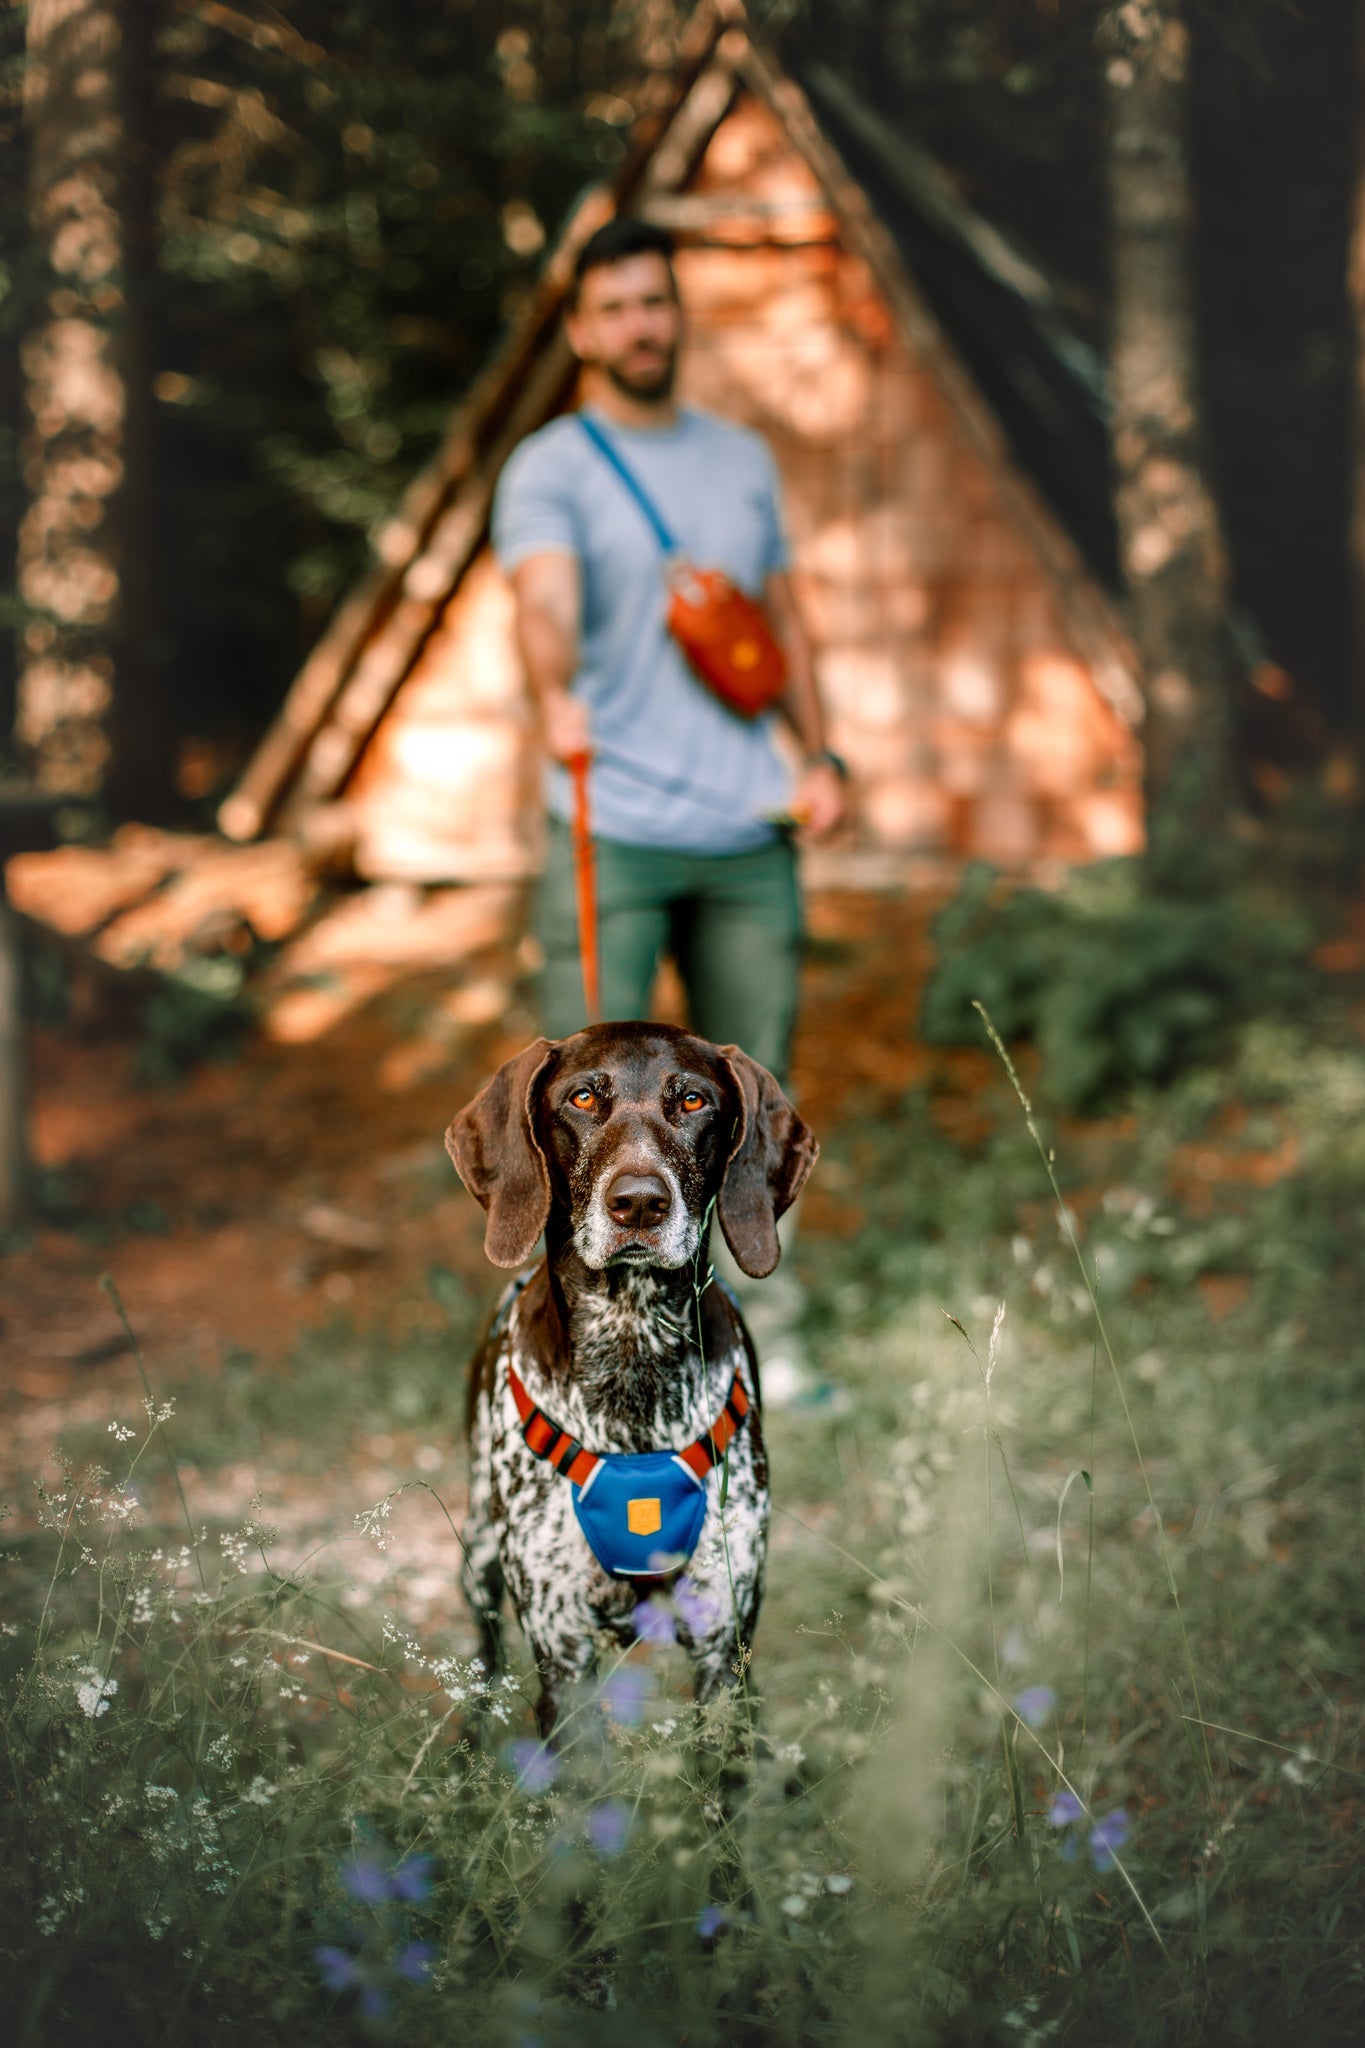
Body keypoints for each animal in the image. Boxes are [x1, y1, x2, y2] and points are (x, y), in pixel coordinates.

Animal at [444, 1019, 818, 1728]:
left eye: (694, 1101)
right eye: (584, 1098)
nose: (639, 1204)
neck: (630, 1345)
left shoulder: (722, 1647)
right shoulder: (562, 1653)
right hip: (478, 1552)